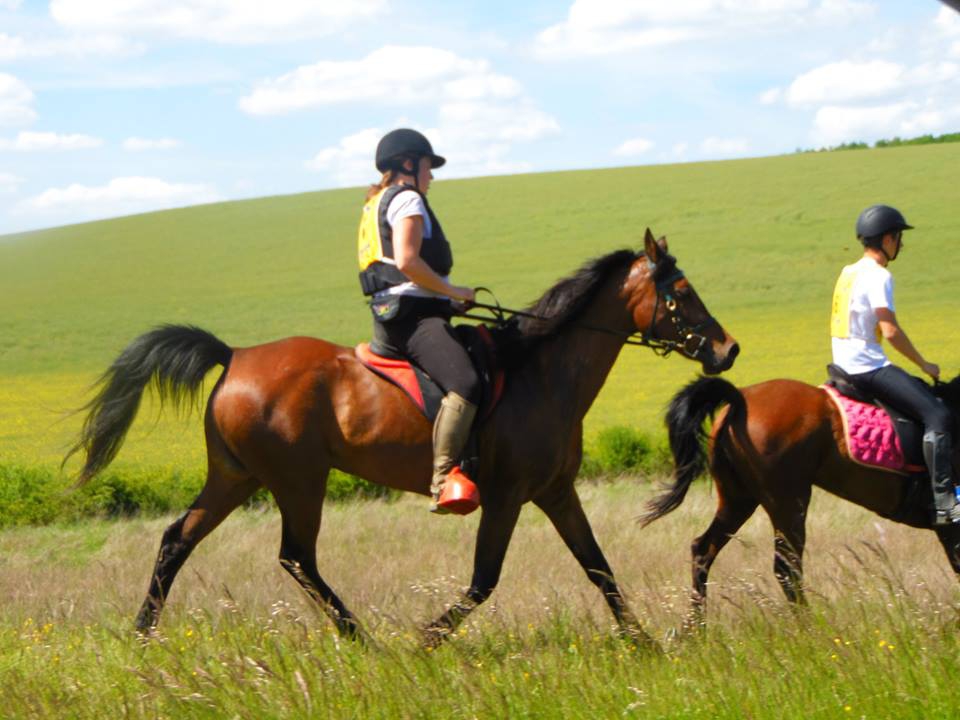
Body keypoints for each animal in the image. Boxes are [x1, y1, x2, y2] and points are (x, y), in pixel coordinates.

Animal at [67, 229, 738, 646]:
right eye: (681, 292)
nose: (728, 349)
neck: (542, 371)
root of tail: (233, 357)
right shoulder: (506, 495)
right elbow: (484, 579)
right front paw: (425, 639)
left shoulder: (555, 491)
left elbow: (599, 568)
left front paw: (645, 643)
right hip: (298, 481)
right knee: (296, 556)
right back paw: (365, 640)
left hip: (237, 476)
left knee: (177, 540)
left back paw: (143, 635)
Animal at [641, 373, 960, 629]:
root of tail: (740, 399)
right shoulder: (950, 528)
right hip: (788, 501)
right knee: (787, 567)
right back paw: (812, 631)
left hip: (738, 500)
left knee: (703, 549)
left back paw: (695, 631)